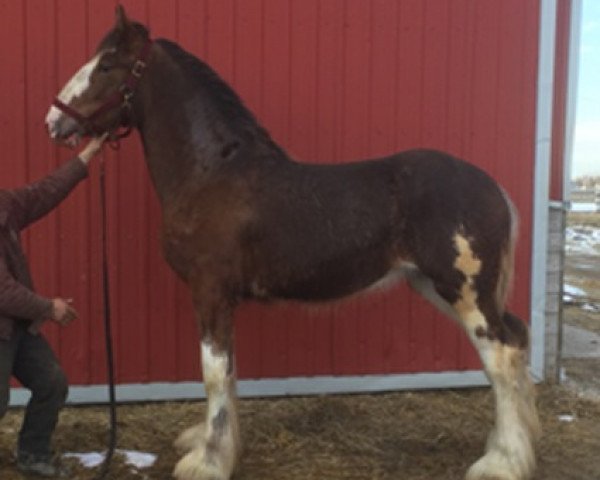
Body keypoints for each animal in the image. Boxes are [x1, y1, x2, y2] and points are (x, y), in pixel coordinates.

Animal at [43, 6, 540, 480]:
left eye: (107, 65)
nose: (53, 120)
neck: (211, 172)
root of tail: (492, 188)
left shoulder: (209, 292)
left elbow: (213, 373)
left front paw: (208, 462)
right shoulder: (221, 300)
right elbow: (229, 372)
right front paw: (215, 446)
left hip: (465, 292)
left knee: (500, 355)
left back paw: (501, 463)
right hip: (438, 287)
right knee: (513, 342)